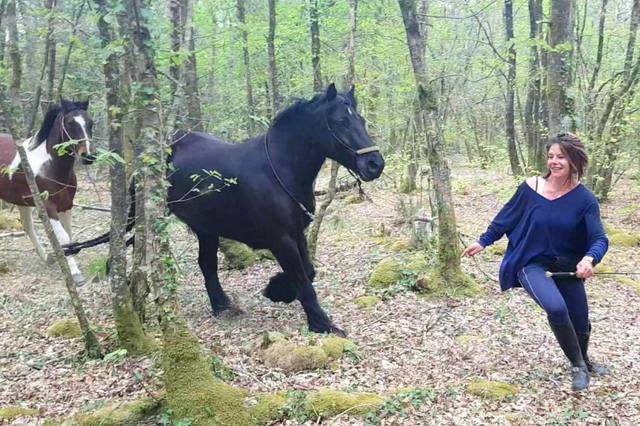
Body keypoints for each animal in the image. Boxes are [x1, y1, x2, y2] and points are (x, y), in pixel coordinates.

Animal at [0, 99, 95, 285]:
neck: (50, 166)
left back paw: (46, 258)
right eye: (70, 123)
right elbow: (63, 237)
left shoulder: (66, 205)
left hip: (22, 202)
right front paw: (75, 273)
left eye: (90, 122)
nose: (88, 156)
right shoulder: (49, 207)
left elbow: (68, 236)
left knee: (27, 226)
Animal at [66, 84, 384, 335]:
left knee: (206, 265)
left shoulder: (297, 233)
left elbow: (308, 271)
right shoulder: (281, 239)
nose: (375, 164)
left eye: (362, 120)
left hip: (206, 229)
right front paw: (322, 323)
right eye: (341, 122)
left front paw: (277, 290)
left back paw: (222, 305)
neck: (280, 170)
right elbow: (305, 280)